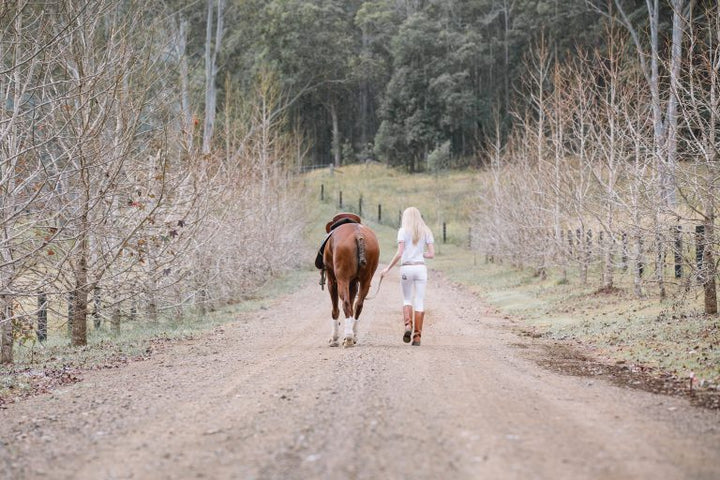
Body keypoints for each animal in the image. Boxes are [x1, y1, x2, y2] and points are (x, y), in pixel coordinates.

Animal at [318, 213, 380, 344]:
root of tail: (358, 235)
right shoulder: (353, 283)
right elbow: (352, 305)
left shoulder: (332, 282)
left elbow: (336, 309)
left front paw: (334, 337)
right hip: (366, 280)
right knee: (358, 305)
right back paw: (353, 334)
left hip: (342, 279)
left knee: (345, 303)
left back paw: (349, 338)